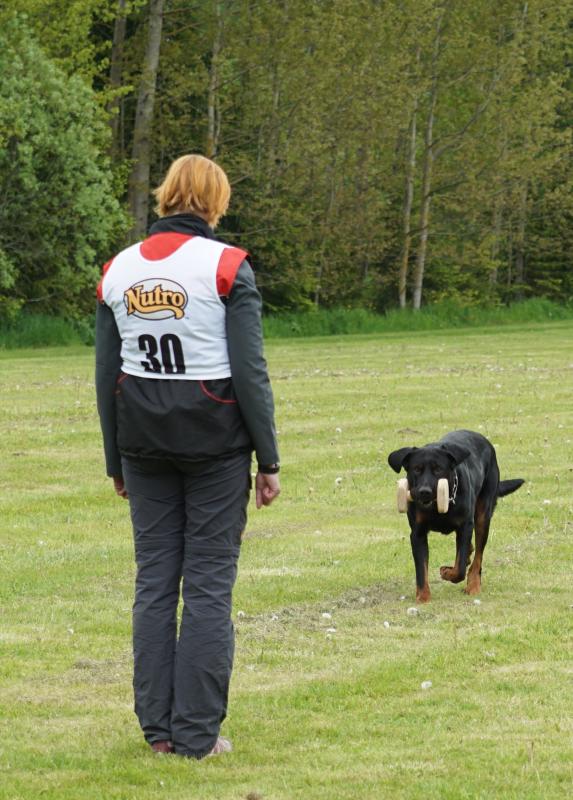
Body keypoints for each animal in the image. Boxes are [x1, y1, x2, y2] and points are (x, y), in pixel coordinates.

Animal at [388, 430, 524, 603]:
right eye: (416, 469)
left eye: (438, 469)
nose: (424, 492)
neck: (437, 506)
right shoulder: (418, 533)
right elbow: (421, 570)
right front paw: (423, 598)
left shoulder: (465, 526)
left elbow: (459, 569)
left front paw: (447, 572)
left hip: (483, 516)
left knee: (478, 557)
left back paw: (473, 585)